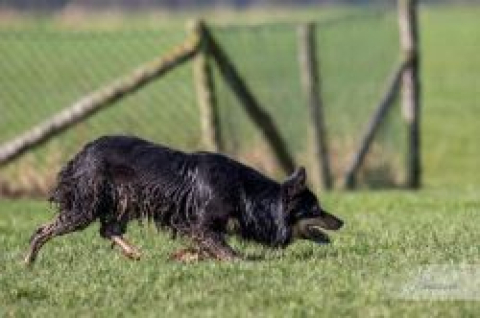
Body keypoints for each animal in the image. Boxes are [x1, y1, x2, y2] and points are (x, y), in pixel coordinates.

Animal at [24, 135, 344, 264]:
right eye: (316, 209)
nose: (342, 221)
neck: (249, 197)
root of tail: (84, 152)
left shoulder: (198, 227)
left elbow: (204, 248)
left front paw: (183, 257)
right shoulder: (199, 224)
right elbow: (224, 250)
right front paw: (242, 263)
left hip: (128, 202)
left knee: (109, 229)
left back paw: (134, 254)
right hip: (85, 207)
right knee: (42, 230)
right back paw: (28, 261)